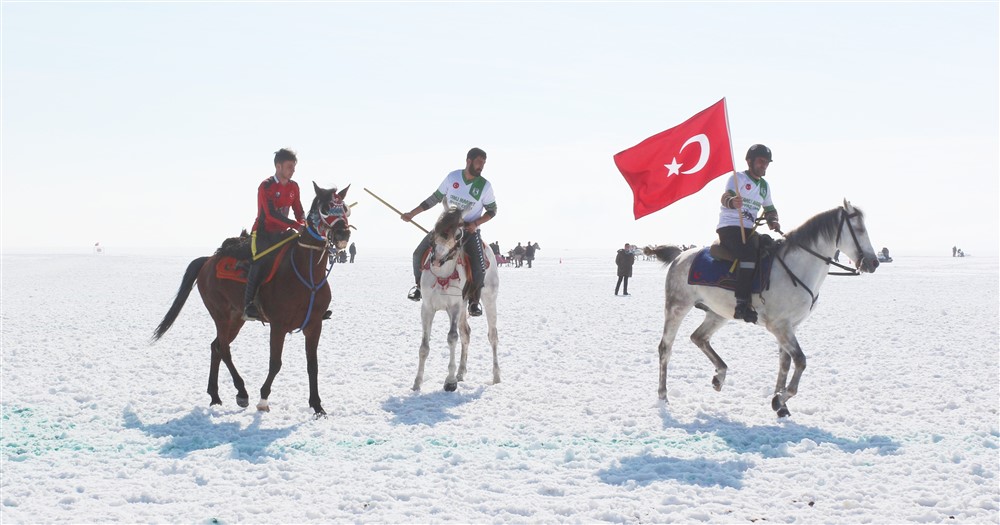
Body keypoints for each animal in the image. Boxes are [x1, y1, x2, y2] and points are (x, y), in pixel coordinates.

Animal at [150, 182, 350, 416]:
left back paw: (215, 396)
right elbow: (275, 363)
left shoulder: (315, 324)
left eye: (345, 208)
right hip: (221, 315)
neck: (306, 275)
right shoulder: (278, 325)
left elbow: (313, 365)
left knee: (215, 346)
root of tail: (208, 261)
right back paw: (242, 392)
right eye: (326, 208)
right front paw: (263, 399)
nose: (343, 232)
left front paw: (318, 406)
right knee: (223, 349)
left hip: (237, 318)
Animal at [410, 207, 500, 390]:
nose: (437, 259)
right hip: (464, 305)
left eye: (458, 234)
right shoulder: (427, 308)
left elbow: (452, 338)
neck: (442, 274)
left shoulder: (454, 307)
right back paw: (461, 372)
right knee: (466, 333)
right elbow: (424, 346)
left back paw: (496, 377)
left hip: (488, 299)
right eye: (435, 228)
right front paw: (417, 383)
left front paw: (450, 382)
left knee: (492, 335)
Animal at [648, 199, 876, 416]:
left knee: (699, 337)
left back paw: (719, 376)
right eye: (859, 229)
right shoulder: (779, 326)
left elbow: (784, 362)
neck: (797, 268)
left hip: (718, 313)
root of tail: (680, 255)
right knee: (665, 348)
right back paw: (663, 395)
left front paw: (781, 404)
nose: (873, 263)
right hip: (677, 306)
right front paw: (780, 399)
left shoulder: (791, 326)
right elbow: (800, 361)